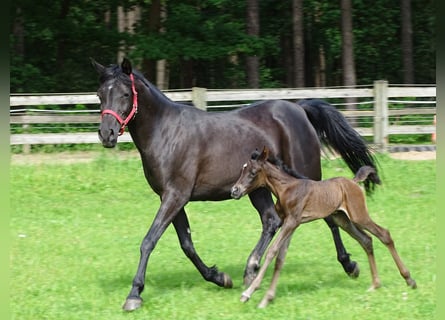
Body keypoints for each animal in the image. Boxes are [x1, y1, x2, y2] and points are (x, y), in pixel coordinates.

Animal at [91, 57, 378, 310]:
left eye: (125, 94)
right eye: (100, 94)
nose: (107, 134)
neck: (167, 132)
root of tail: (300, 109)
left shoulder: (175, 195)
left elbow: (149, 240)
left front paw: (134, 295)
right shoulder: (172, 197)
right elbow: (186, 244)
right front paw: (220, 278)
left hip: (306, 176)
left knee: (328, 217)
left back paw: (349, 265)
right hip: (259, 187)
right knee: (271, 220)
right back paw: (251, 269)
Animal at [231, 147, 414, 308]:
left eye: (253, 172)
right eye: (242, 170)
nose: (235, 191)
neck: (286, 188)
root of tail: (353, 182)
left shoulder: (292, 222)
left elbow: (271, 252)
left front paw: (248, 294)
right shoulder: (291, 224)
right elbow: (280, 258)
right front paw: (267, 298)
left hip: (358, 215)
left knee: (384, 234)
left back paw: (409, 280)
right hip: (342, 219)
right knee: (366, 240)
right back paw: (376, 284)